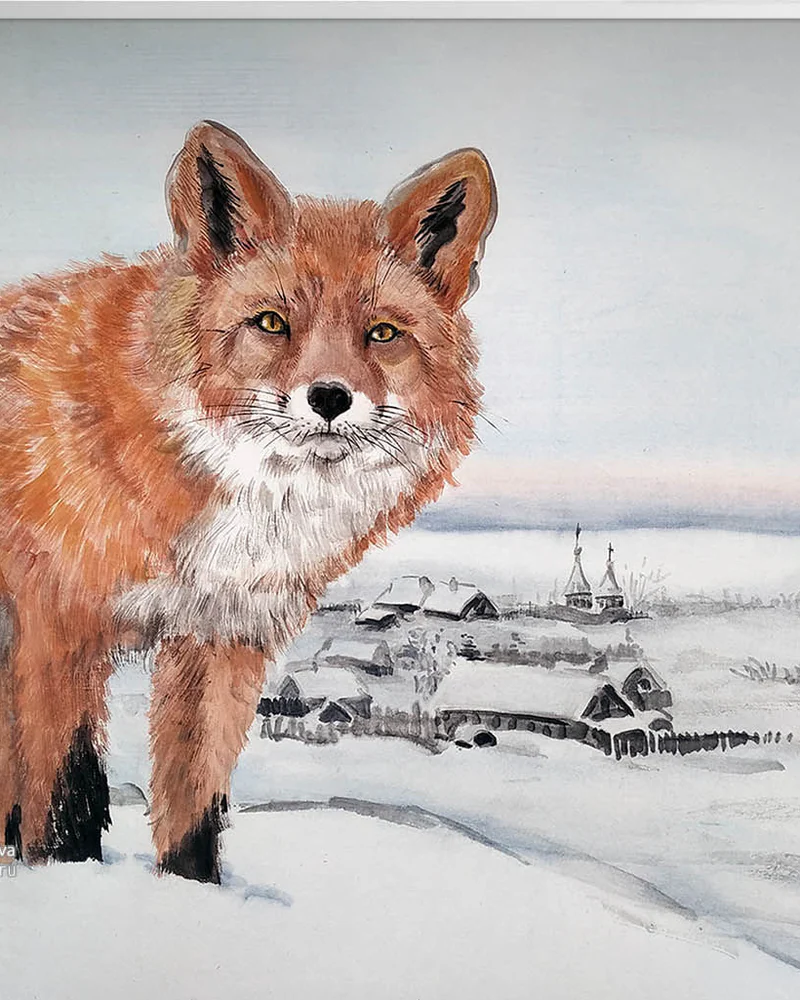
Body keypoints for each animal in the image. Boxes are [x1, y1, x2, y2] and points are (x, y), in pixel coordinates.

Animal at [0, 121, 496, 882]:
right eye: (271, 322)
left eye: (383, 333)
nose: (330, 398)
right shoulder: (58, 625)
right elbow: (63, 791)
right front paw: (65, 876)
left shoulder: (222, 638)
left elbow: (194, 808)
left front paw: (191, 895)